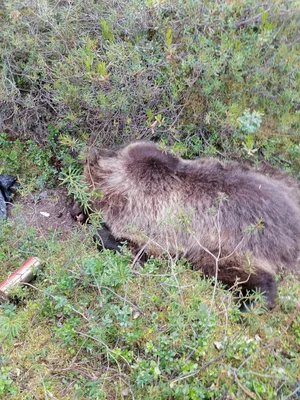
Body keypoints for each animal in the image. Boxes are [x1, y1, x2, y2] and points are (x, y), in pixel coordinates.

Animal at [82, 142, 300, 308]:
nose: (90, 152)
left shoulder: (155, 228)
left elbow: (136, 249)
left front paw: (102, 232)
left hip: (232, 246)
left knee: (238, 272)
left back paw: (251, 303)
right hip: (277, 177)